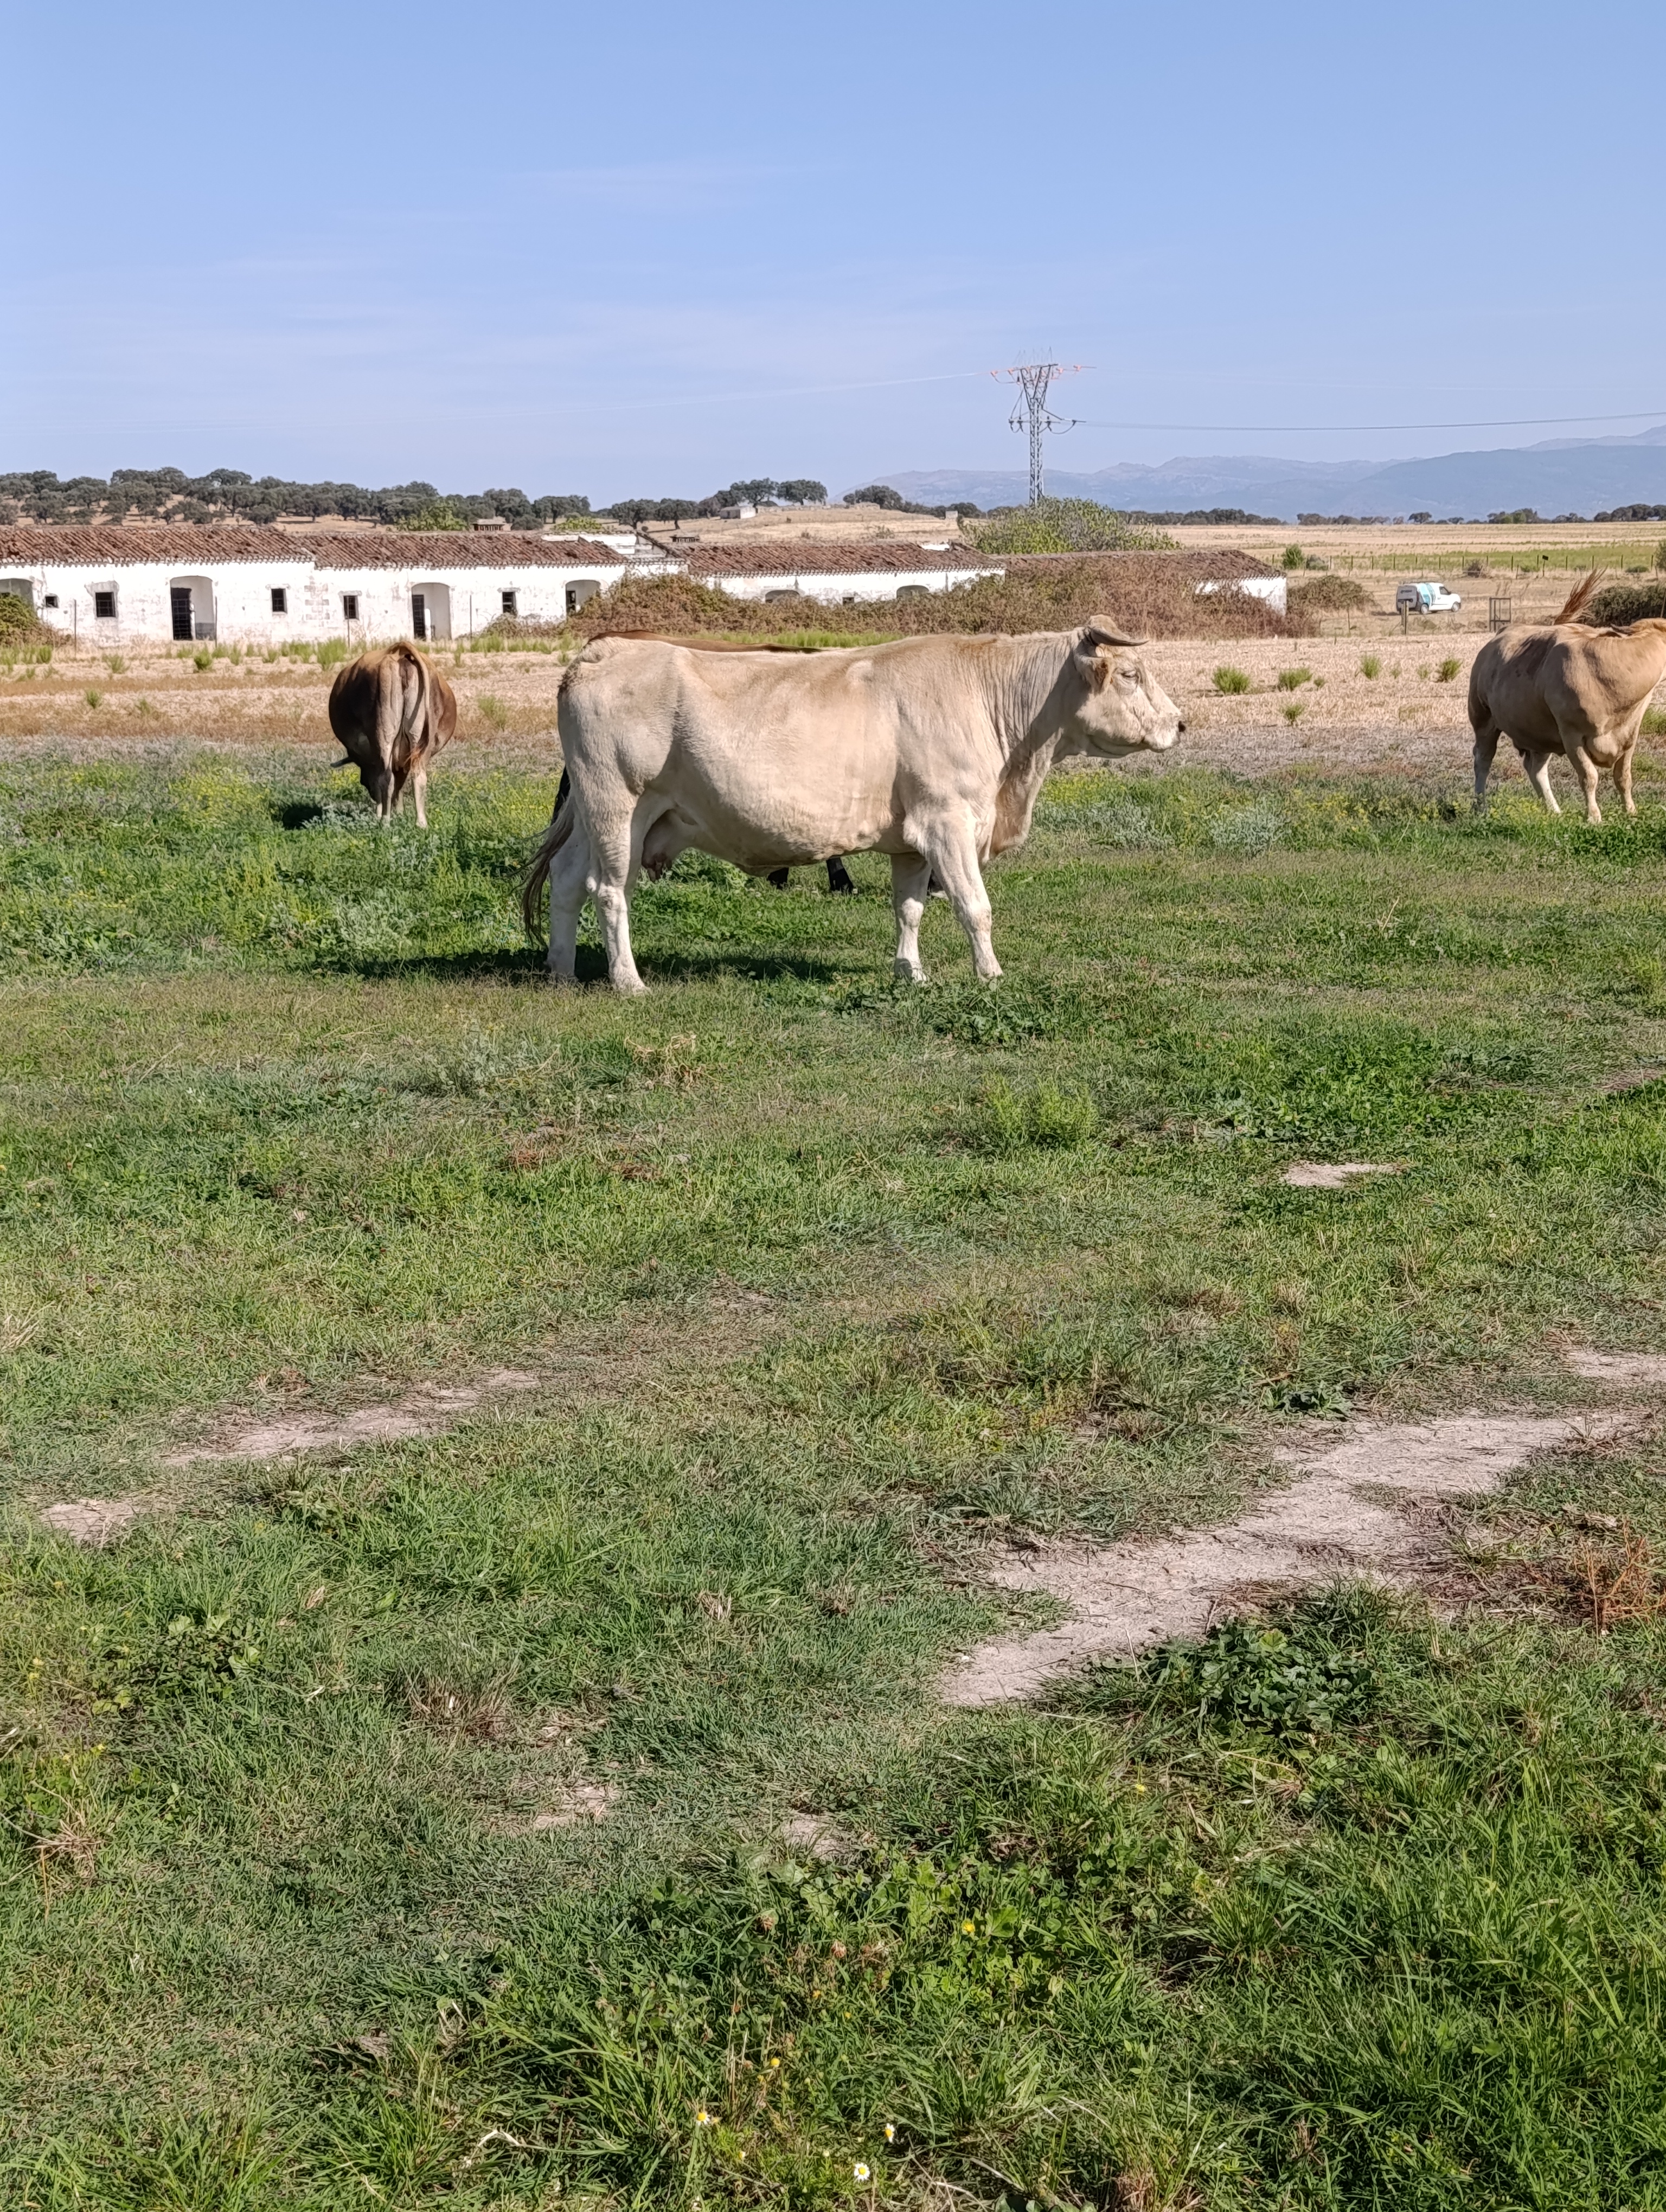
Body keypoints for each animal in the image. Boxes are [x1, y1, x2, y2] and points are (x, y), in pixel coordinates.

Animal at [327, 643, 459, 827]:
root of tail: (400, 653)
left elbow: (381, 782)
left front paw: (382, 813)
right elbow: (401, 784)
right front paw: (400, 813)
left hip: (384, 733)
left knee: (386, 778)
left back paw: (385, 821)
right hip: (420, 740)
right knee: (418, 777)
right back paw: (421, 823)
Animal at [522, 621, 1184, 993]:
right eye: (1131, 673)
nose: (1181, 723)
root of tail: (602, 652)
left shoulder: (913, 838)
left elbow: (910, 910)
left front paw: (911, 975)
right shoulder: (949, 821)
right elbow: (974, 908)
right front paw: (991, 976)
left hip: (598, 814)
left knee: (566, 879)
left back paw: (561, 970)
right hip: (618, 804)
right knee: (609, 890)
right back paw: (628, 981)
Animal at [1470, 570, 1666, 824]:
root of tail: (1496, 639)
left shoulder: (1629, 736)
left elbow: (1623, 777)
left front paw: (1630, 811)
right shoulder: (1572, 735)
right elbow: (1589, 776)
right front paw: (1593, 816)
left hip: (1539, 731)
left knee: (1536, 768)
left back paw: (1554, 810)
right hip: (1483, 720)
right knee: (1483, 761)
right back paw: (1480, 807)